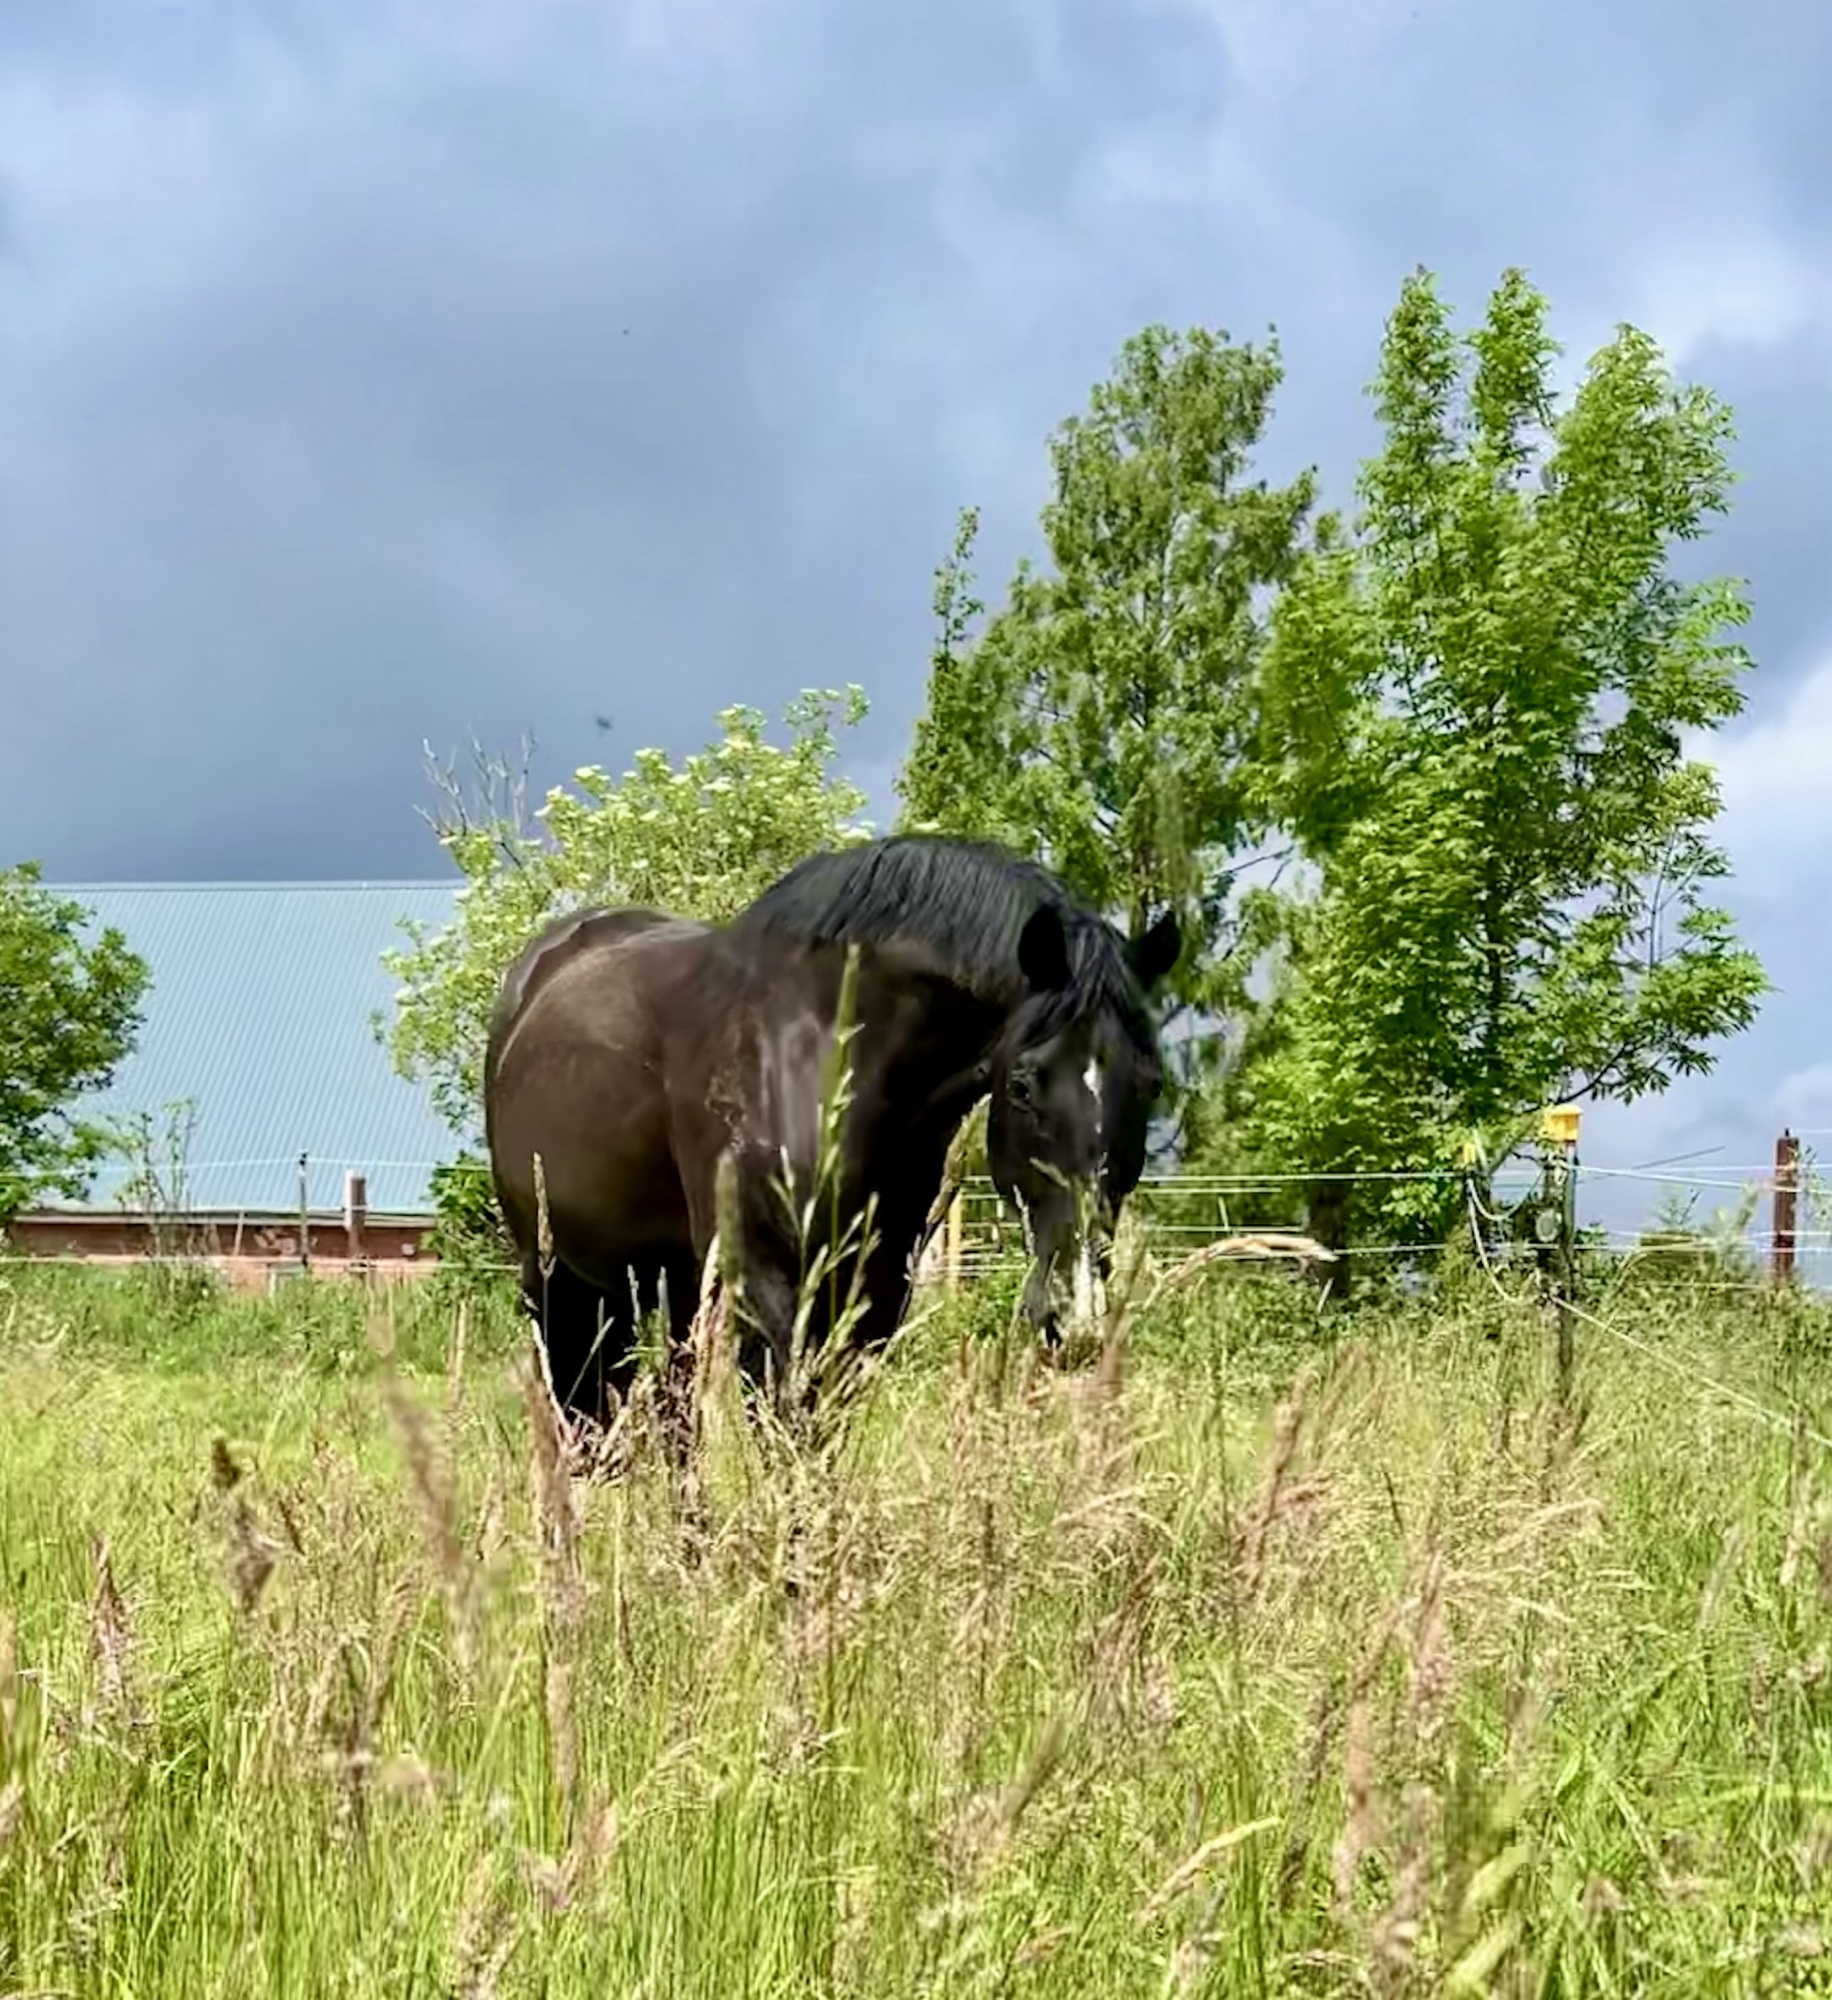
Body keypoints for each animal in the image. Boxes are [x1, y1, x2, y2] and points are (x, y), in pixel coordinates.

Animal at [483, 834, 1180, 1440]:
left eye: (1151, 1083)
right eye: (1025, 1085)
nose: (1077, 1316)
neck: (817, 1047)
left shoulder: (872, 1292)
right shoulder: (766, 1289)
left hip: (661, 1284)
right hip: (553, 1277)